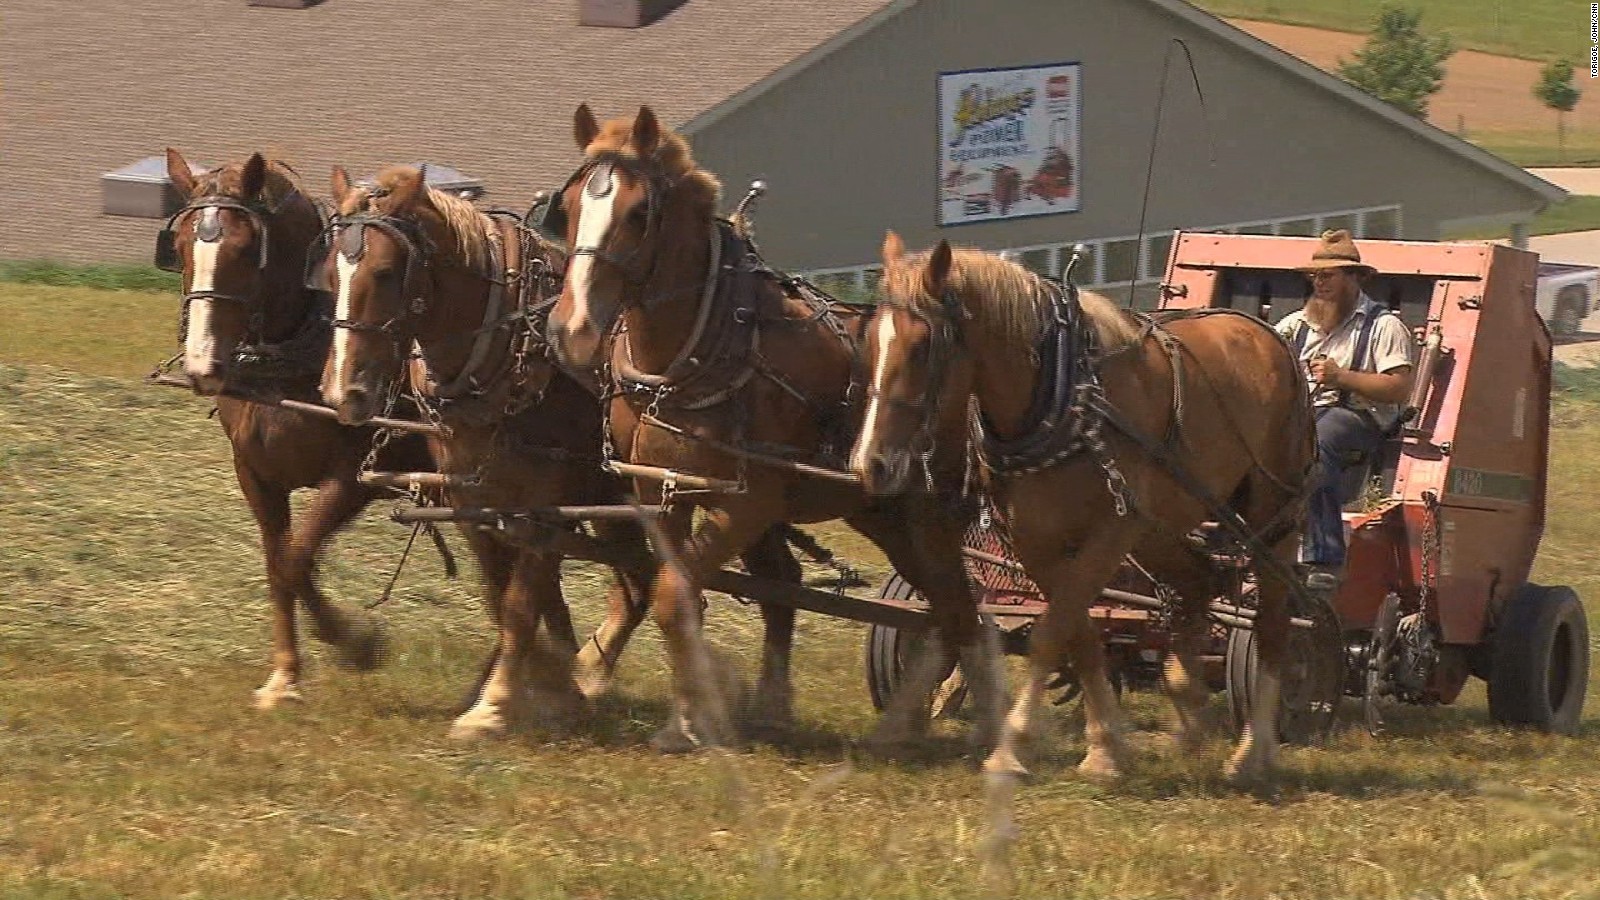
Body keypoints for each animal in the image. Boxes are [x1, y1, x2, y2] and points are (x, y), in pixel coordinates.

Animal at [160, 148, 441, 707]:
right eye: (179, 246)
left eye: (247, 250)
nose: (202, 365)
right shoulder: (255, 474)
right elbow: (282, 563)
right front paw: (285, 673)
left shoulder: (353, 480)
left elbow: (296, 559)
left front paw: (355, 643)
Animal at [315, 162, 790, 736]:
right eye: (329, 274)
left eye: (386, 273)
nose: (344, 392)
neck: (508, 346)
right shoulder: (475, 503)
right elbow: (503, 596)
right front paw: (550, 683)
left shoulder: (544, 508)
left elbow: (521, 604)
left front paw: (495, 704)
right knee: (643, 584)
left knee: (775, 581)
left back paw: (760, 702)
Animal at [544, 103, 1004, 749]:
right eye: (568, 208)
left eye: (638, 213)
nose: (573, 330)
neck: (692, 351)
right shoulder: (657, 490)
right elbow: (671, 593)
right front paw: (682, 712)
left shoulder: (748, 502)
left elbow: (673, 595)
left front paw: (695, 717)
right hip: (885, 516)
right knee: (938, 609)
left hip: (930, 517)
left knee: (964, 613)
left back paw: (981, 726)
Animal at [851, 235, 1312, 781]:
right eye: (869, 341)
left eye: (924, 347)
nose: (870, 464)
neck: (1063, 393)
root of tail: (1269, 333)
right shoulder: (1035, 540)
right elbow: (1080, 633)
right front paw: (1105, 747)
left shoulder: (1111, 531)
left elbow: (1050, 633)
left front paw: (1013, 746)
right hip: (1159, 528)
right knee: (1197, 584)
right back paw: (1189, 714)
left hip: (1270, 519)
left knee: (1273, 623)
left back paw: (1253, 752)